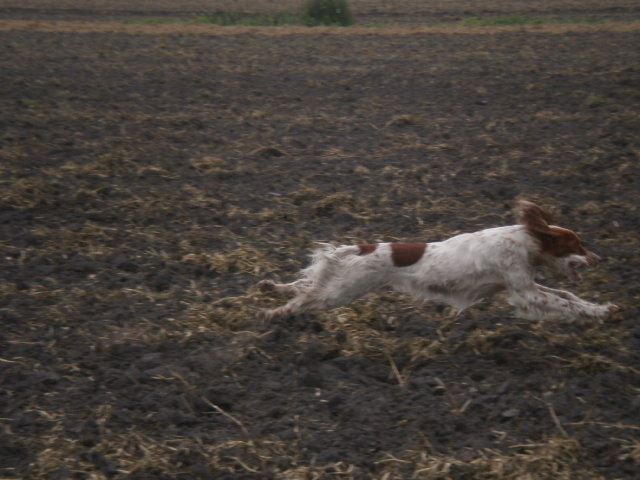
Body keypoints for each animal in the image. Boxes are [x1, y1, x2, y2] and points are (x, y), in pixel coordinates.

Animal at [258, 201, 616, 320]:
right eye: (577, 244)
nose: (599, 259)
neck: (526, 241)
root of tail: (364, 247)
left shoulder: (526, 284)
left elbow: (567, 294)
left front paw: (601, 307)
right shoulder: (523, 290)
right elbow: (565, 301)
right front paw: (596, 313)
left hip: (342, 283)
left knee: (305, 284)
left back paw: (270, 288)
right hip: (344, 290)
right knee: (307, 297)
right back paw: (275, 313)